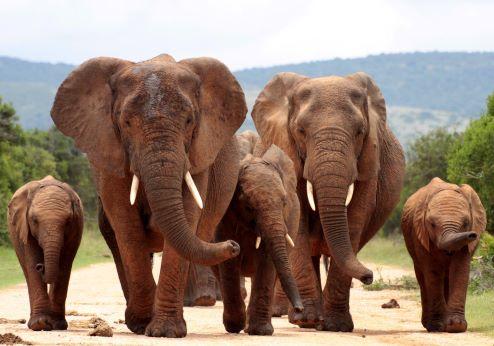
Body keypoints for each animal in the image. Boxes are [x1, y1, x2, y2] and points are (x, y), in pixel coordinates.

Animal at [7, 176, 84, 330]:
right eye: (34, 220)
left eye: (68, 221)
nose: (40, 266)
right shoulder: (24, 226)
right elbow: (32, 260)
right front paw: (40, 324)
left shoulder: (76, 228)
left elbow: (65, 264)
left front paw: (57, 324)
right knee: (27, 270)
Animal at [50, 54, 247, 338]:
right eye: (126, 123)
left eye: (189, 121)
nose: (234, 245)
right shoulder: (109, 152)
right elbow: (126, 225)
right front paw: (143, 324)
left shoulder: (198, 154)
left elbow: (188, 215)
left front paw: (165, 331)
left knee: (201, 239)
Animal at [217, 130, 304, 336]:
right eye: (249, 206)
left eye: (284, 203)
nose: (300, 310)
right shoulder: (225, 215)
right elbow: (229, 261)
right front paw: (235, 326)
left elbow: (267, 260)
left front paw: (260, 331)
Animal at [251, 71, 406, 332]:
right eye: (301, 130)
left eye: (360, 132)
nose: (369, 277)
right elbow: (299, 218)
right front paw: (308, 321)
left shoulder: (369, 161)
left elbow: (355, 219)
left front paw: (336, 326)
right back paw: (302, 318)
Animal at [402, 178, 486, 332]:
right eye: (432, 224)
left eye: (466, 223)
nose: (472, 235)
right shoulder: (421, 234)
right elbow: (432, 272)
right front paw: (438, 326)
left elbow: (460, 269)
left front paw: (456, 326)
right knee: (423, 278)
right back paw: (429, 325)